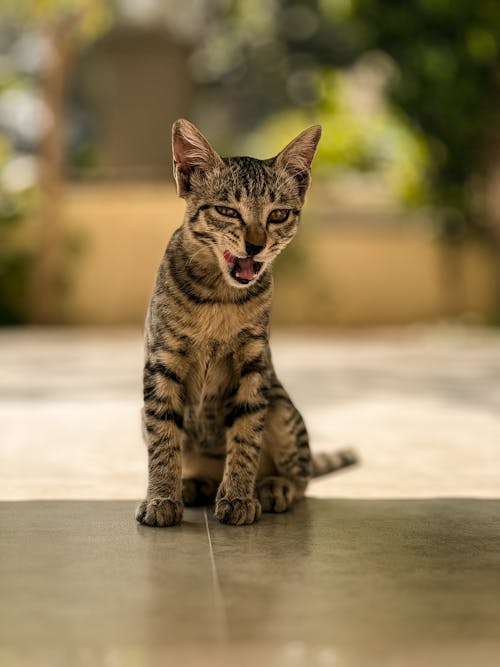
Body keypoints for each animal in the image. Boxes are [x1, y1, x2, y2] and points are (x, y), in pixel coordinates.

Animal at [136, 120, 356, 528]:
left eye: (278, 215)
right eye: (227, 210)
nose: (255, 246)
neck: (219, 298)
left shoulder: (253, 364)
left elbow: (246, 435)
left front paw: (238, 495)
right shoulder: (162, 362)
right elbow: (164, 439)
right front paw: (161, 497)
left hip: (282, 409)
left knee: (302, 478)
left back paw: (271, 487)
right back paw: (196, 485)